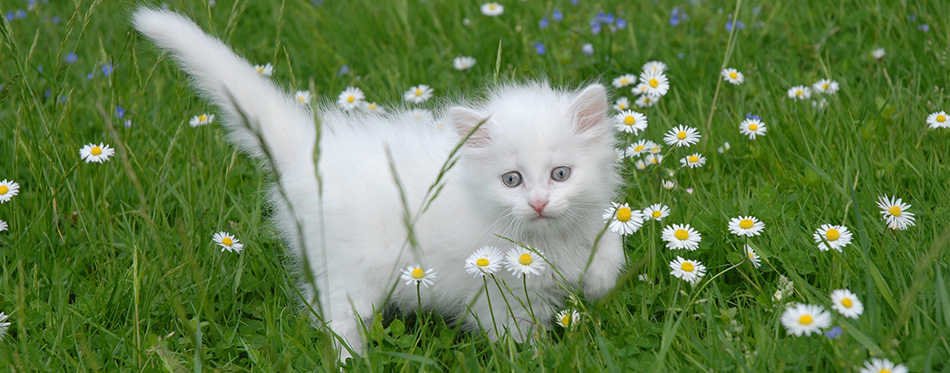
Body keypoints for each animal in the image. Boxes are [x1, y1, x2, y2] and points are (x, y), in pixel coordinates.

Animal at [132, 8, 624, 358]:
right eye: (512, 180)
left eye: (561, 174)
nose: (539, 202)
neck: (543, 240)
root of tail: (311, 152)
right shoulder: (494, 293)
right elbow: (515, 336)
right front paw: (538, 358)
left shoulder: (587, 225)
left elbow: (607, 256)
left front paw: (597, 281)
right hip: (349, 273)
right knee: (336, 323)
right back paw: (354, 360)